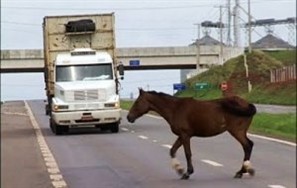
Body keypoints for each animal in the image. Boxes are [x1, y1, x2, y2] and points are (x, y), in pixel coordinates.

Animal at [126, 89, 256, 180]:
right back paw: (243, 171)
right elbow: (172, 150)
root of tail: (247, 104)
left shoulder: (185, 135)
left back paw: (243, 171)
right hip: (239, 131)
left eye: (137, 102)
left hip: (237, 131)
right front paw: (179, 169)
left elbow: (187, 153)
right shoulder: (181, 135)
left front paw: (187, 173)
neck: (175, 108)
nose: (129, 117)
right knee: (248, 146)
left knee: (247, 146)